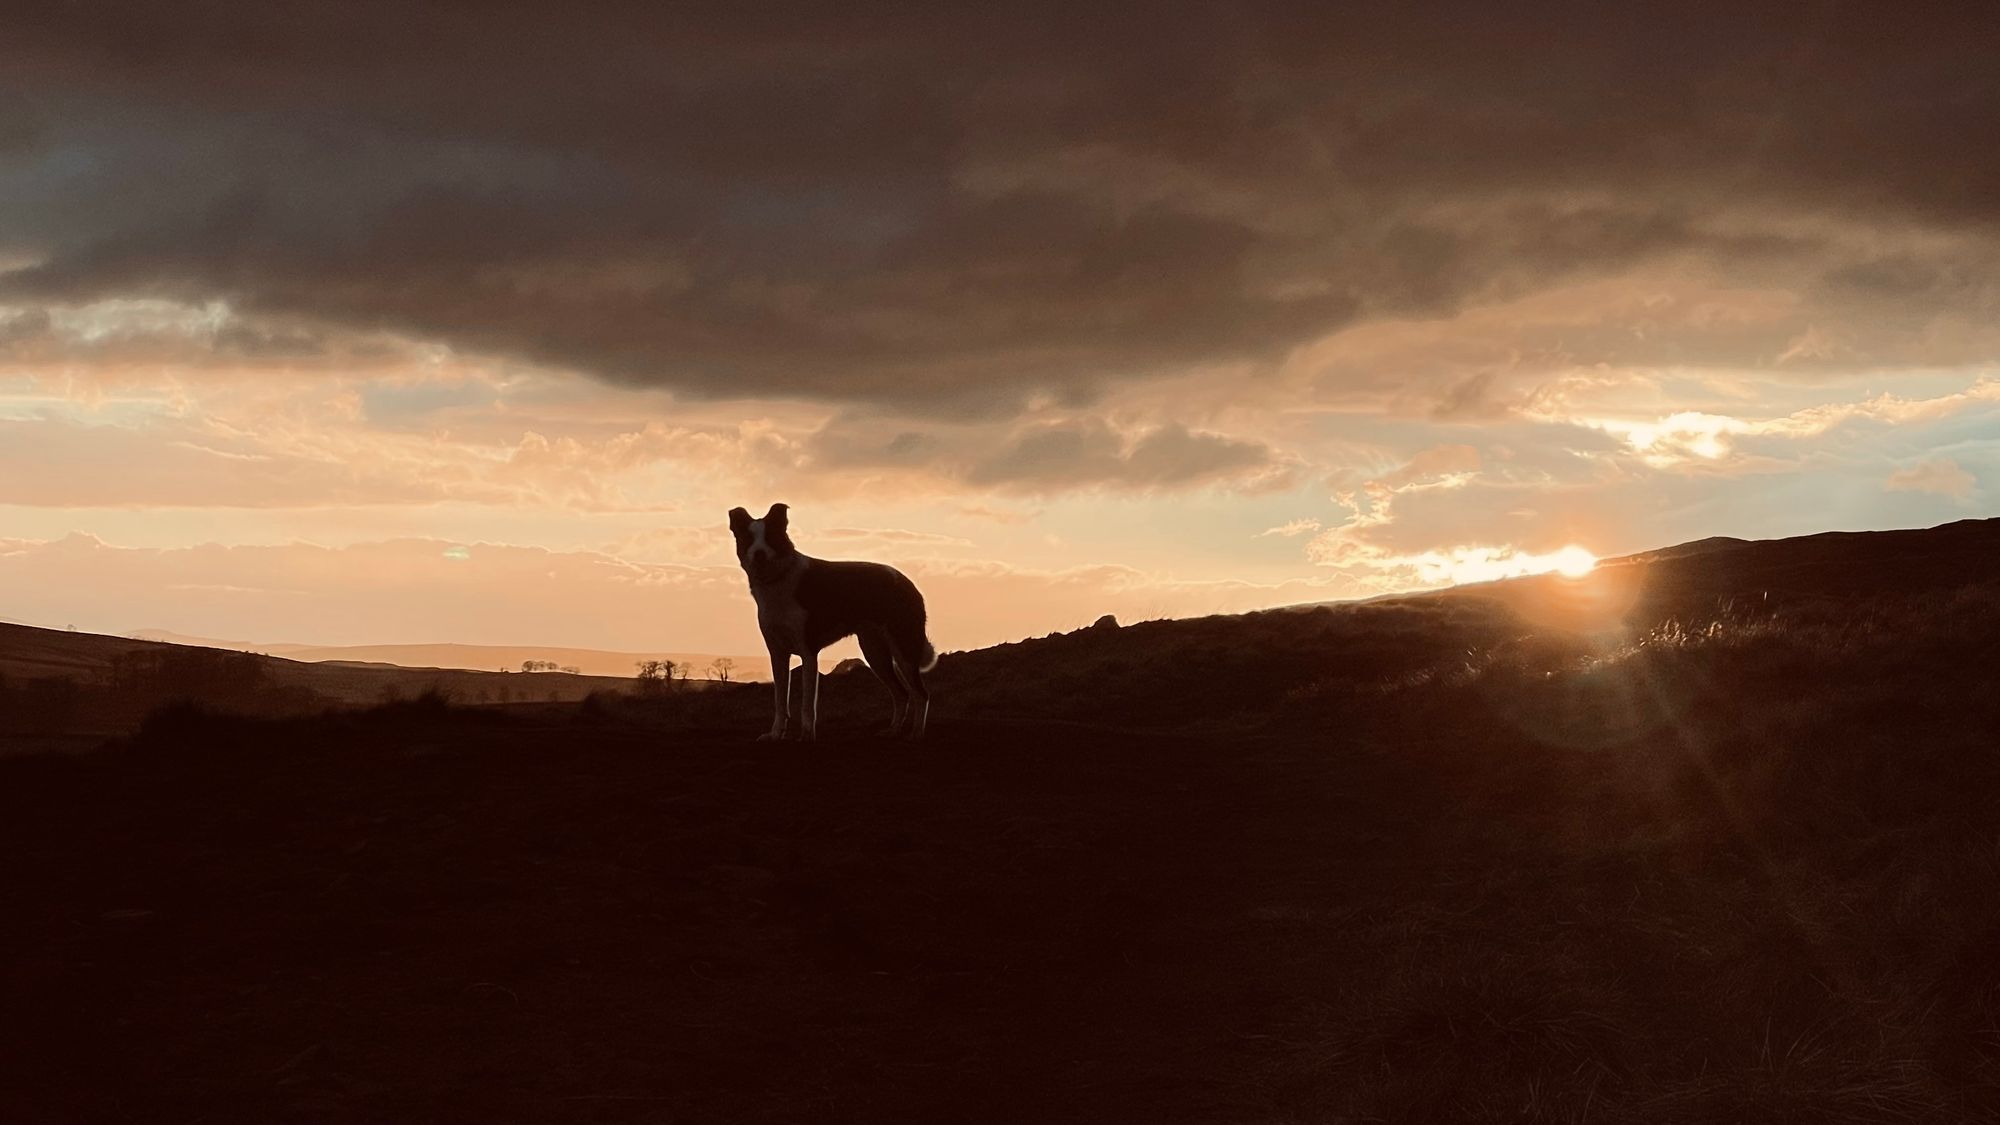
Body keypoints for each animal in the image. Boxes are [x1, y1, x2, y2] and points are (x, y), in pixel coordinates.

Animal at [736, 504, 936, 740]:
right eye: (748, 539)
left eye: (770, 537)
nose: (758, 553)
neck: (778, 580)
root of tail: (907, 583)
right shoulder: (777, 654)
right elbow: (780, 702)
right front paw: (776, 734)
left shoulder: (808, 652)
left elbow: (807, 705)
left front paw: (806, 735)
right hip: (875, 652)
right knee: (901, 694)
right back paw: (893, 730)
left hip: (903, 647)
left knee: (921, 694)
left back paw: (917, 733)